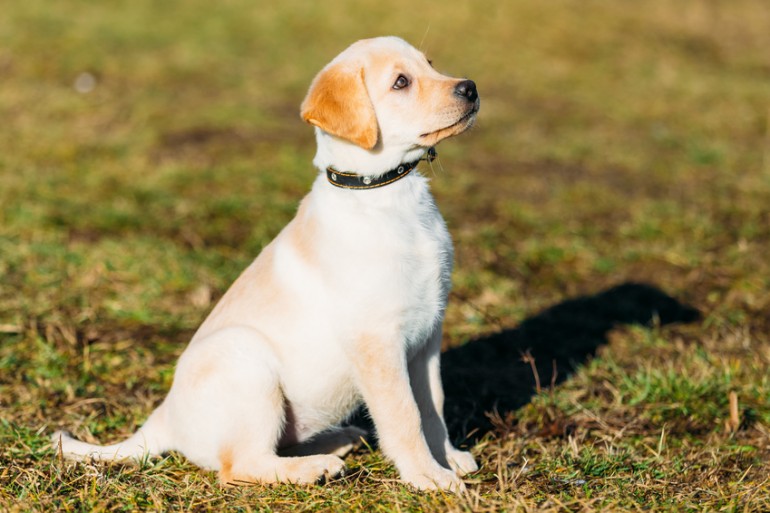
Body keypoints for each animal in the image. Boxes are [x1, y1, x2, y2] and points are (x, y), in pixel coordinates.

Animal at [55, 37, 480, 492]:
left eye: (430, 64)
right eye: (401, 82)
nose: (470, 87)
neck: (386, 194)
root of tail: (163, 417)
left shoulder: (427, 334)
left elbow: (433, 405)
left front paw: (448, 458)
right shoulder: (378, 340)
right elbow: (405, 415)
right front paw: (428, 476)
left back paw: (336, 442)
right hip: (247, 362)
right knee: (238, 466)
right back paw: (315, 467)